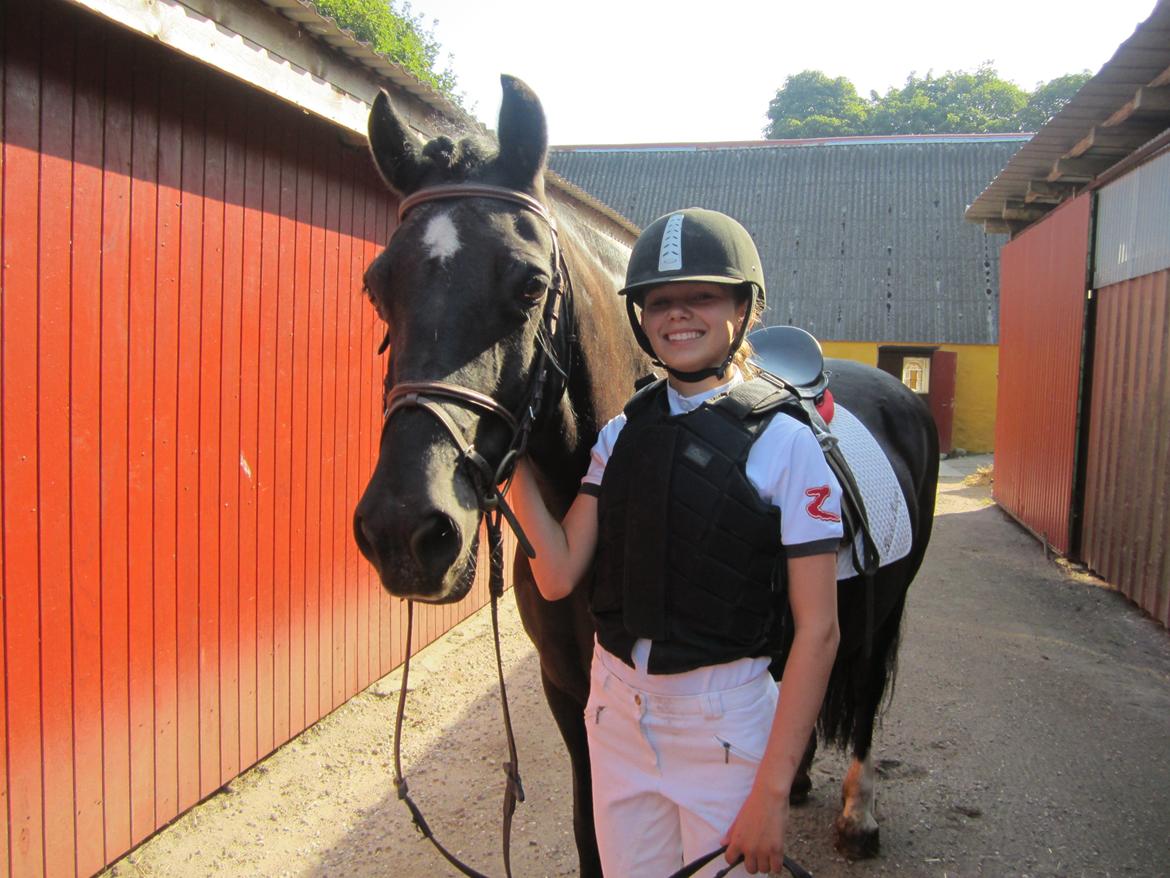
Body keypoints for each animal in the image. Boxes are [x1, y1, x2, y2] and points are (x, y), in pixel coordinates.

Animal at [353, 76, 938, 875]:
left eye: (530, 285)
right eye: (377, 286)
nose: (404, 531)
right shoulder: (570, 692)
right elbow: (592, 834)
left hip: (884, 610)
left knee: (868, 694)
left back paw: (859, 815)